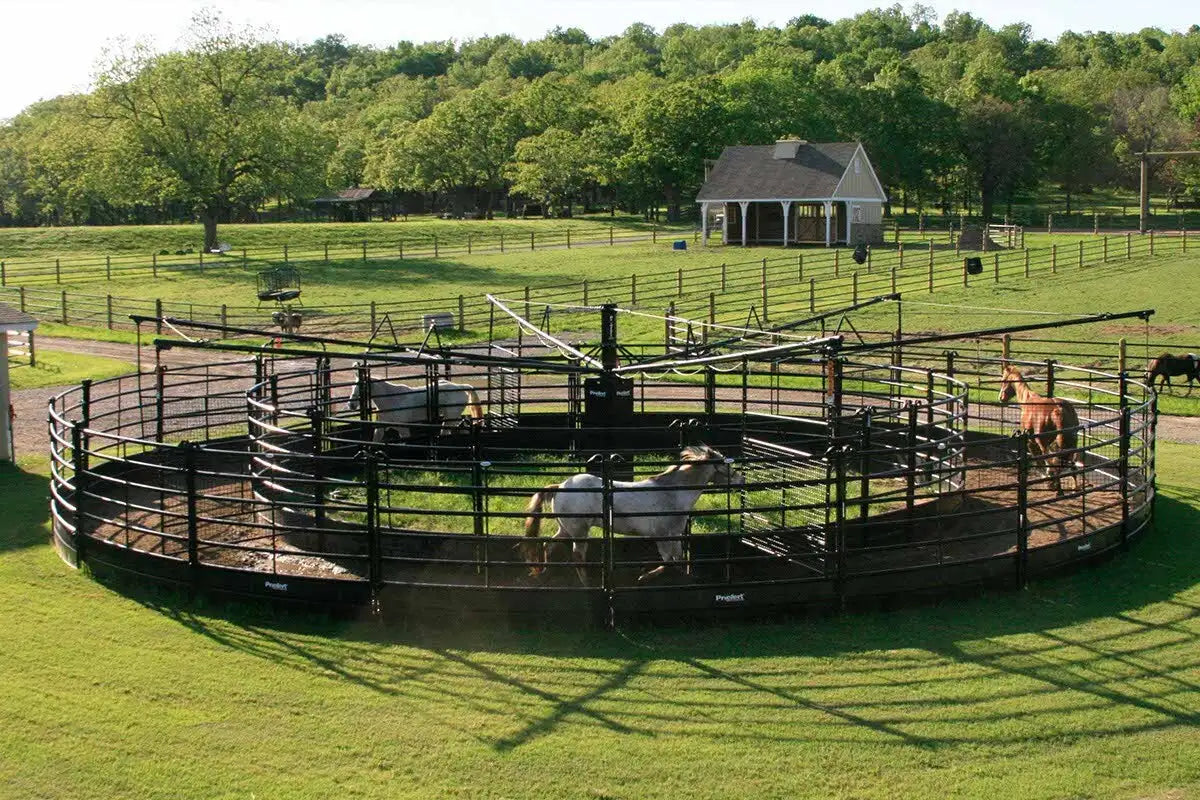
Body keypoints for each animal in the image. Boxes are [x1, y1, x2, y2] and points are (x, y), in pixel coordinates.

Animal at [345, 369, 483, 441]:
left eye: (361, 387)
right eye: (353, 386)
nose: (351, 405)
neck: (391, 399)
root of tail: (461, 387)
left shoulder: (403, 428)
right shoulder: (381, 427)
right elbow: (376, 440)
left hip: (450, 418)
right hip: (452, 418)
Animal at [521, 445, 744, 584]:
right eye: (727, 466)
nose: (741, 479)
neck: (672, 493)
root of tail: (560, 486)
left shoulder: (675, 535)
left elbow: (678, 559)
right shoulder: (662, 535)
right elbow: (669, 560)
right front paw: (644, 577)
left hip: (566, 528)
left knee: (548, 544)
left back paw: (543, 573)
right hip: (579, 530)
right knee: (578, 556)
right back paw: (586, 583)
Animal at [998, 365, 1083, 496]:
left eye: (1003, 380)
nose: (1001, 398)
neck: (1027, 400)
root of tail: (1057, 410)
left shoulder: (1031, 441)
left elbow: (1038, 460)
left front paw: (1047, 477)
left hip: (1042, 441)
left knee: (1052, 461)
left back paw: (1057, 488)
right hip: (1071, 442)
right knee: (1069, 461)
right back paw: (1074, 487)